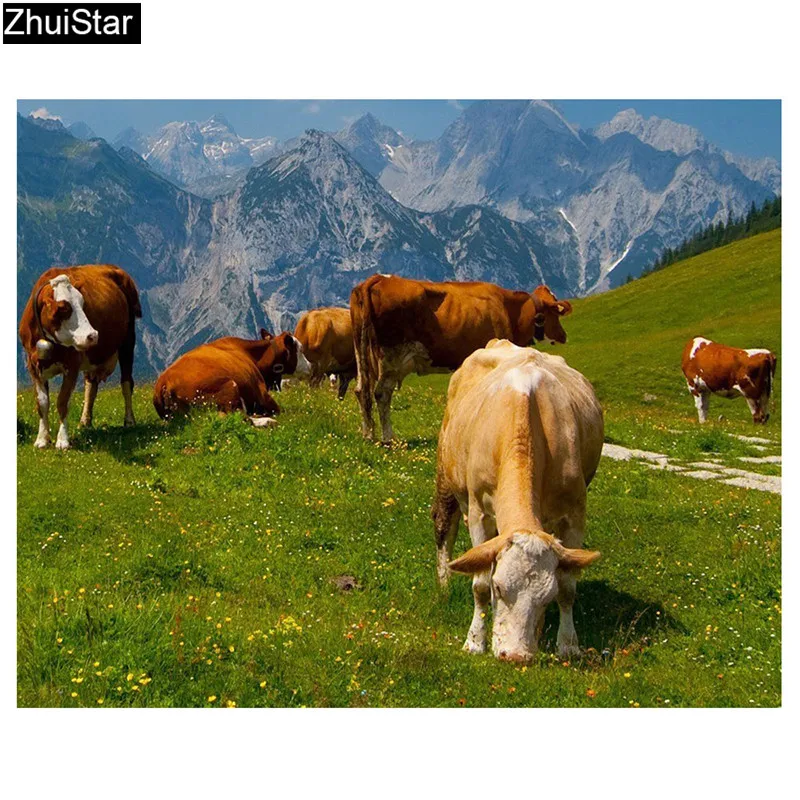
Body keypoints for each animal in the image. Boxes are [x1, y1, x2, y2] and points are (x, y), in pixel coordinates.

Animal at [19, 265, 142, 450]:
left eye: (83, 304)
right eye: (63, 308)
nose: (92, 335)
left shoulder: (72, 364)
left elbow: (62, 401)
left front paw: (63, 441)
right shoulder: (32, 364)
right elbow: (42, 403)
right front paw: (42, 439)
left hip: (128, 341)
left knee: (126, 383)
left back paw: (129, 420)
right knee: (91, 385)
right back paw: (85, 421)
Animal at [153, 331, 311, 424]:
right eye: (300, 349)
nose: (310, 365)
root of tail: (165, 381)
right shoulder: (262, 393)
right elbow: (279, 410)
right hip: (229, 387)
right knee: (240, 417)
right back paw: (267, 421)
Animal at [350, 275, 573, 442]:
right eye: (556, 312)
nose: (564, 335)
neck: (510, 310)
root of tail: (378, 278)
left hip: (362, 353)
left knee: (361, 390)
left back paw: (368, 434)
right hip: (391, 357)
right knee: (381, 393)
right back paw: (388, 437)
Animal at [432, 339, 603, 663]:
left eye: (546, 597)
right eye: (500, 587)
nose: (516, 656)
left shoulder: (575, 513)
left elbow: (568, 586)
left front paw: (568, 644)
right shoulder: (479, 512)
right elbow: (479, 583)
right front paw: (475, 641)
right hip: (446, 476)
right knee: (444, 527)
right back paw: (444, 583)